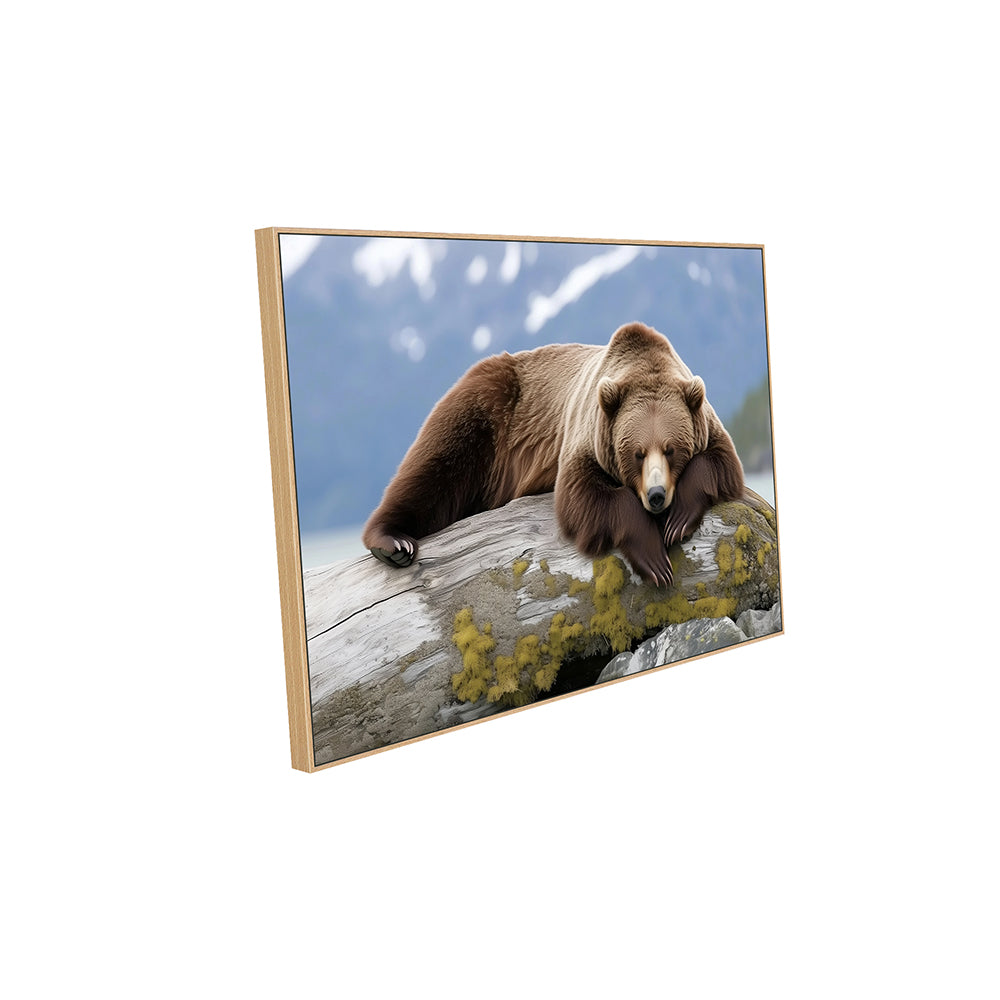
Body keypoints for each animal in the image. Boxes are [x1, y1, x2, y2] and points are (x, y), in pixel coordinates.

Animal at [362, 321, 744, 587]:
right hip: (487, 411)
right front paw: (654, 558)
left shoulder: (704, 421)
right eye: (636, 453)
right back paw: (393, 542)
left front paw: (677, 520)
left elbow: (721, 463)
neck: (644, 362)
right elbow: (583, 498)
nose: (656, 495)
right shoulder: (586, 433)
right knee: (435, 466)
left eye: (671, 449)